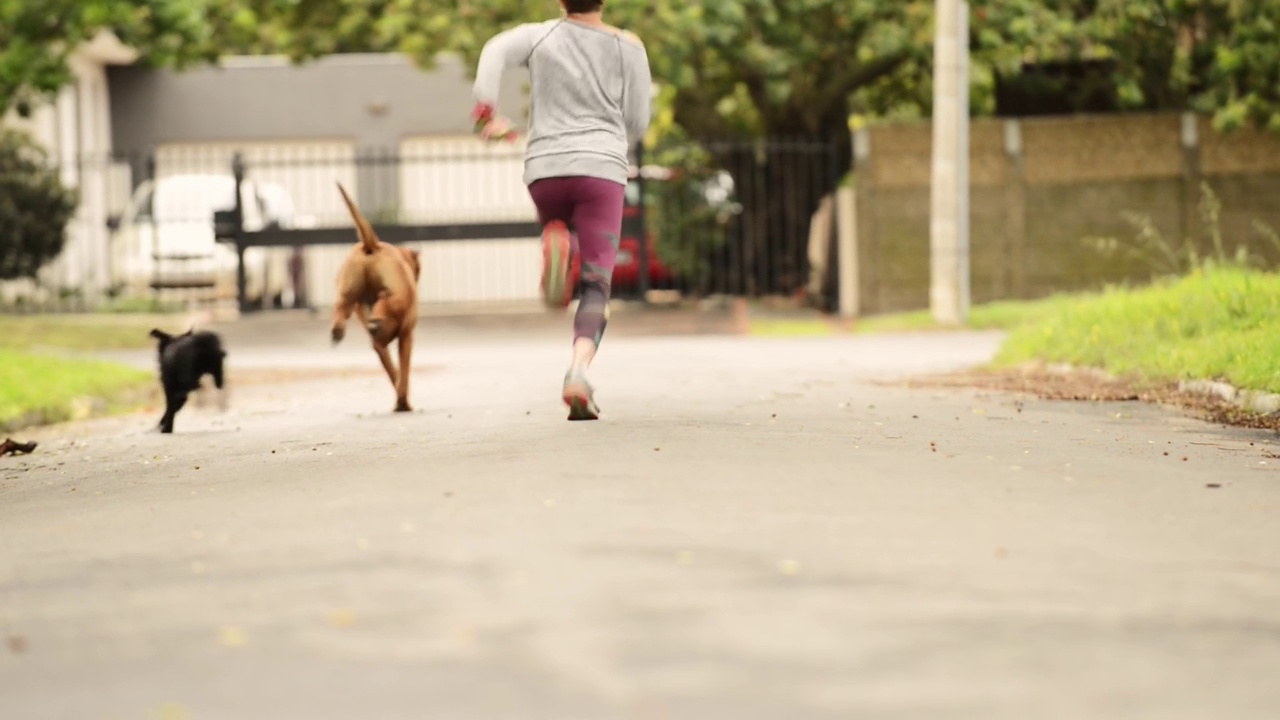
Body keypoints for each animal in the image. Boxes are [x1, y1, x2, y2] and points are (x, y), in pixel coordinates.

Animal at [332, 181, 422, 412]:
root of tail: (372, 245)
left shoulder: (380, 346)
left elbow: (393, 371)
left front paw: (400, 400)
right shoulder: (406, 336)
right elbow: (403, 372)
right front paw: (403, 402)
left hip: (348, 292)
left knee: (342, 306)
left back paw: (338, 329)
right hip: (395, 296)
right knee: (384, 298)